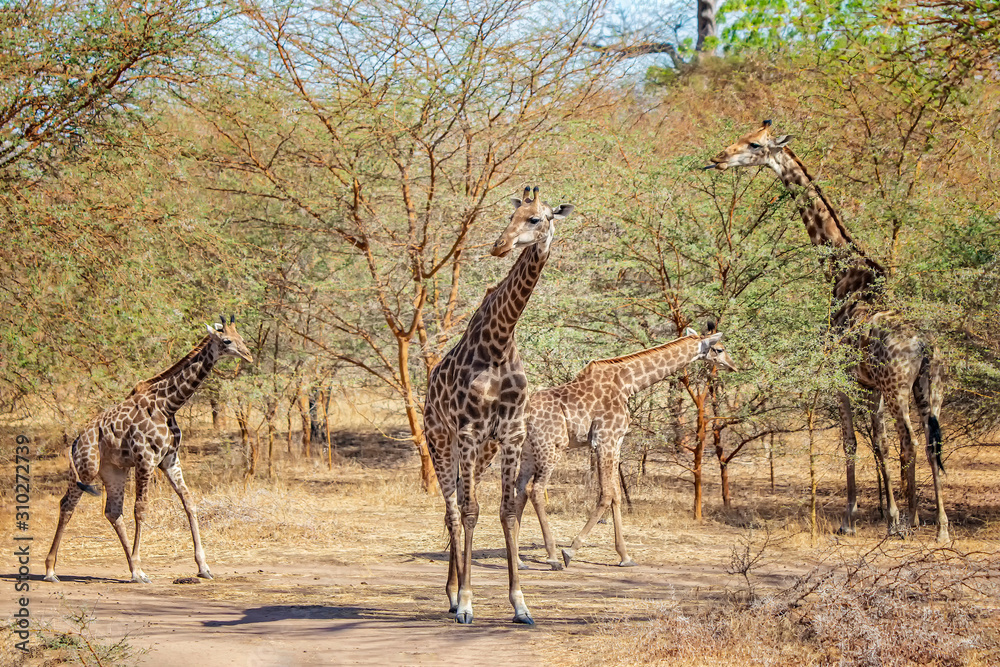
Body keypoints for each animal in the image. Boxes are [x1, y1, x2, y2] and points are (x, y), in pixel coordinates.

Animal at [44, 316, 254, 583]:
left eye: (242, 338)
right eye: (227, 341)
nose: (248, 355)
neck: (168, 405)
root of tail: (77, 440)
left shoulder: (170, 460)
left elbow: (189, 502)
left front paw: (203, 567)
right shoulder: (145, 458)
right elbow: (141, 509)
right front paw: (140, 570)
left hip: (114, 471)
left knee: (113, 512)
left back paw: (134, 568)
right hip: (86, 469)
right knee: (67, 505)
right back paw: (51, 570)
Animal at [423, 186, 573, 625]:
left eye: (537, 218)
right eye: (511, 216)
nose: (499, 246)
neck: (500, 340)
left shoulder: (509, 434)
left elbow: (507, 511)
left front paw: (521, 605)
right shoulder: (469, 431)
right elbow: (472, 511)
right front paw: (467, 603)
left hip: (481, 451)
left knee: (455, 509)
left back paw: (452, 593)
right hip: (441, 441)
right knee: (453, 511)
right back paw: (452, 597)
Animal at [515, 328, 737, 570]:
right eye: (719, 349)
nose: (733, 366)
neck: (628, 384)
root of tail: (523, 414)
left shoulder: (617, 441)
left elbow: (617, 494)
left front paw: (625, 556)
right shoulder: (605, 439)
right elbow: (607, 493)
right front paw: (570, 551)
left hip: (528, 450)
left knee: (519, 489)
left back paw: (518, 560)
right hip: (551, 446)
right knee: (535, 490)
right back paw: (553, 556)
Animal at [705, 120, 949, 542]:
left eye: (754, 145)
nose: (718, 158)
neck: (840, 272)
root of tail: (924, 343)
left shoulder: (841, 379)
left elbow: (853, 443)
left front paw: (854, 519)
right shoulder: (869, 386)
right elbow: (880, 443)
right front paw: (892, 517)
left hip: (899, 387)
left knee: (912, 442)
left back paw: (916, 523)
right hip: (928, 388)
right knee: (931, 443)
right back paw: (940, 528)